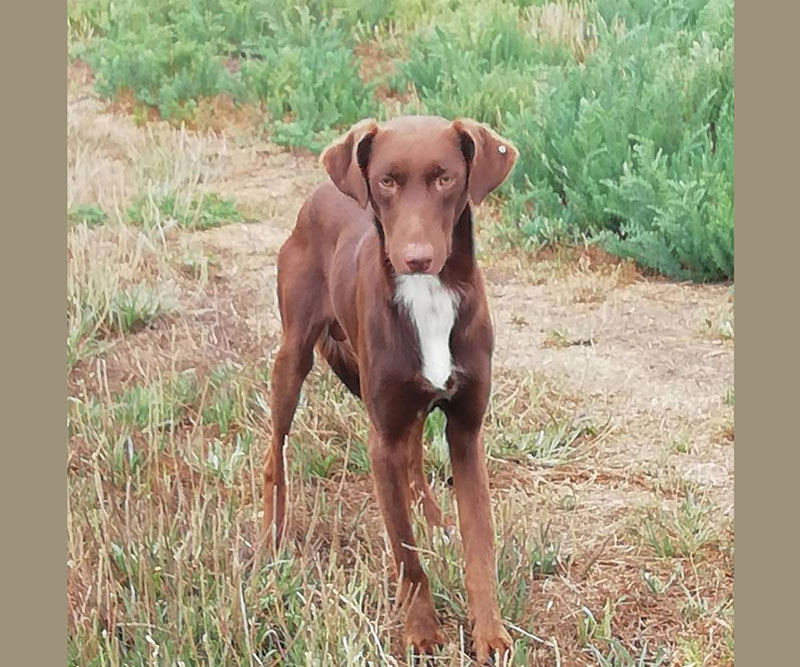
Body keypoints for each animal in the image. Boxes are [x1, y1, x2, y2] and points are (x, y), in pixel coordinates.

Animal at [264, 116, 520, 664]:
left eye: (445, 178)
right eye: (386, 181)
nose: (416, 258)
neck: (429, 299)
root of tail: (321, 192)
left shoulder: (467, 430)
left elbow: (480, 542)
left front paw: (489, 633)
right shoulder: (379, 436)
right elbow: (405, 550)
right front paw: (421, 630)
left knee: (415, 459)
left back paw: (435, 519)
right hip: (292, 359)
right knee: (276, 452)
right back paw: (270, 538)